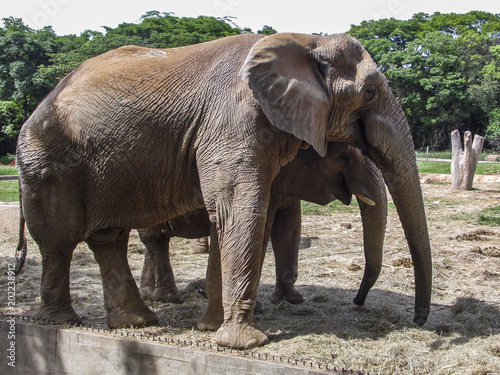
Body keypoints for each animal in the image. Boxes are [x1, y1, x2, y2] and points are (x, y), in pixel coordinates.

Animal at [137, 143, 386, 324]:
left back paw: (148, 293)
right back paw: (168, 298)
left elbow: (289, 228)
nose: (357, 301)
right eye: (343, 156)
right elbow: (262, 230)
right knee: (155, 239)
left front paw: (292, 300)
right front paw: (260, 309)